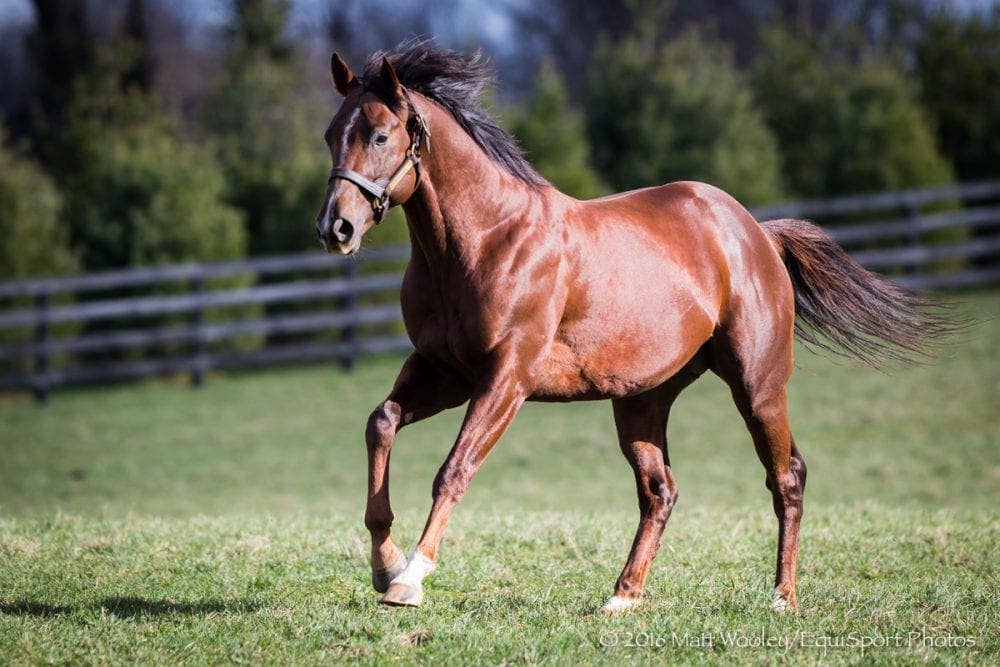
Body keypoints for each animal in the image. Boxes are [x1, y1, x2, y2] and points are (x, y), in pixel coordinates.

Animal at [314, 43, 948, 613]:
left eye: (380, 135)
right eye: (329, 134)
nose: (335, 228)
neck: (484, 240)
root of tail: (758, 234)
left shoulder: (506, 377)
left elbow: (454, 470)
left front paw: (409, 581)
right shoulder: (444, 370)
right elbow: (381, 423)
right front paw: (384, 564)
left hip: (758, 385)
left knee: (786, 478)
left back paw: (781, 598)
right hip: (642, 401)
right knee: (660, 491)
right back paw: (623, 596)